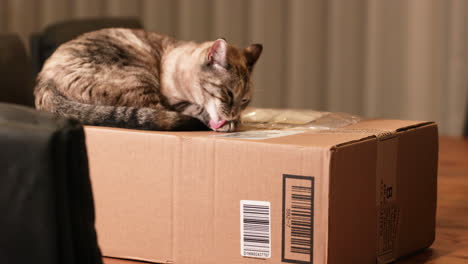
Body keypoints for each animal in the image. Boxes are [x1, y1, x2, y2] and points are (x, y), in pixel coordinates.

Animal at [35, 28, 264, 132]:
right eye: (228, 93)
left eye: (245, 101)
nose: (233, 114)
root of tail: (44, 82)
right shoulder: (173, 100)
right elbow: (195, 109)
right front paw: (227, 123)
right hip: (140, 77)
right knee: (159, 114)